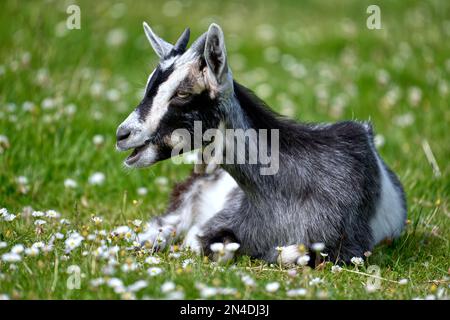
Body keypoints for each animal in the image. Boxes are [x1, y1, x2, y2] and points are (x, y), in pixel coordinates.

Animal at [116, 21, 408, 264]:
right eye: (149, 85)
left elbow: (296, 253)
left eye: (183, 93)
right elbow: (204, 241)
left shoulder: (351, 247)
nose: (122, 134)